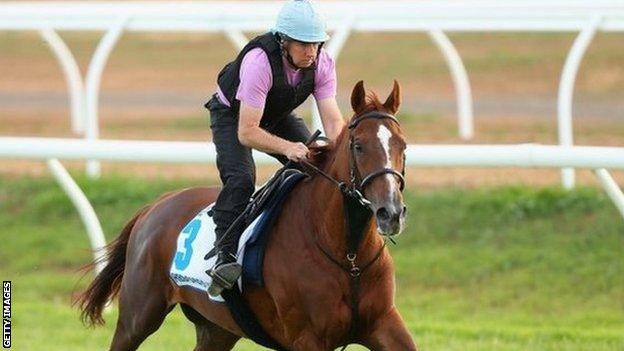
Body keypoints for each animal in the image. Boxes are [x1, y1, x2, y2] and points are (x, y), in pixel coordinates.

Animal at [79, 81, 420, 350]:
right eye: (359, 146)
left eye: (403, 145)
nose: (390, 212)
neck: (348, 256)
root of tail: (156, 206)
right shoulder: (308, 338)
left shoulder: (384, 324)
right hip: (139, 316)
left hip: (217, 328)